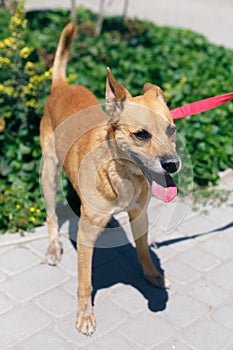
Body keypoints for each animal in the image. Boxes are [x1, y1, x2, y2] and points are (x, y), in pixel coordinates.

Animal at [40, 22, 181, 336]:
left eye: (172, 130)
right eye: (141, 134)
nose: (173, 165)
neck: (120, 174)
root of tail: (61, 86)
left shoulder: (139, 215)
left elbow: (143, 250)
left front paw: (153, 275)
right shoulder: (85, 236)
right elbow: (85, 282)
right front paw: (85, 315)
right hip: (48, 172)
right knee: (51, 215)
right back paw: (54, 246)